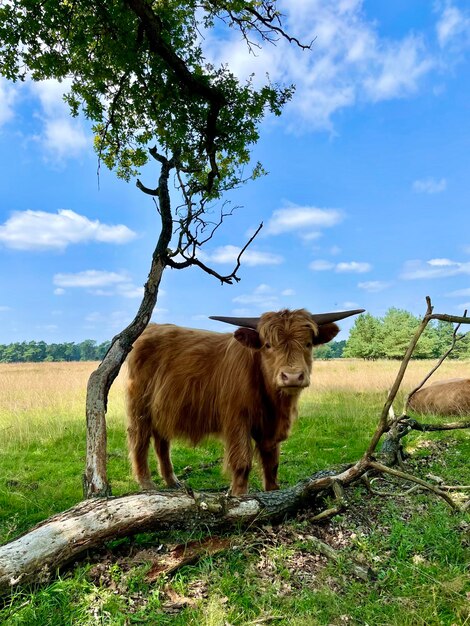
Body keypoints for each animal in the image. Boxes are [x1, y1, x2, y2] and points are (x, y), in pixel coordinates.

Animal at [126, 306, 364, 492]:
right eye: (268, 345)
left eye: (307, 344)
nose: (292, 376)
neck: (272, 401)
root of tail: (152, 327)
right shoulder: (236, 420)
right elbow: (242, 463)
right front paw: (238, 497)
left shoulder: (271, 428)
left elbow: (272, 464)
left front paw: (272, 493)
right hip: (140, 405)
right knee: (139, 440)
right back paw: (147, 484)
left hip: (163, 409)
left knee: (161, 442)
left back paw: (172, 481)